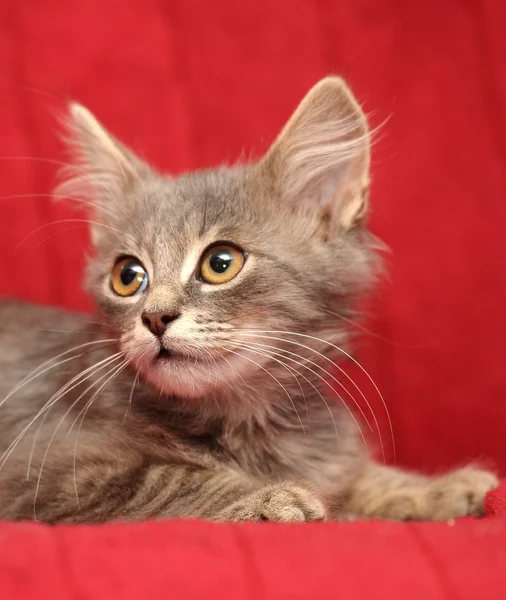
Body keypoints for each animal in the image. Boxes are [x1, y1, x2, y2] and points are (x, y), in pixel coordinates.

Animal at [0, 78, 498, 520]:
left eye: (221, 263)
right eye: (128, 277)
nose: (155, 317)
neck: (252, 419)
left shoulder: (332, 452)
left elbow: (364, 475)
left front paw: (440, 487)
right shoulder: (42, 469)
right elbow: (170, 476)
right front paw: (272, 495)